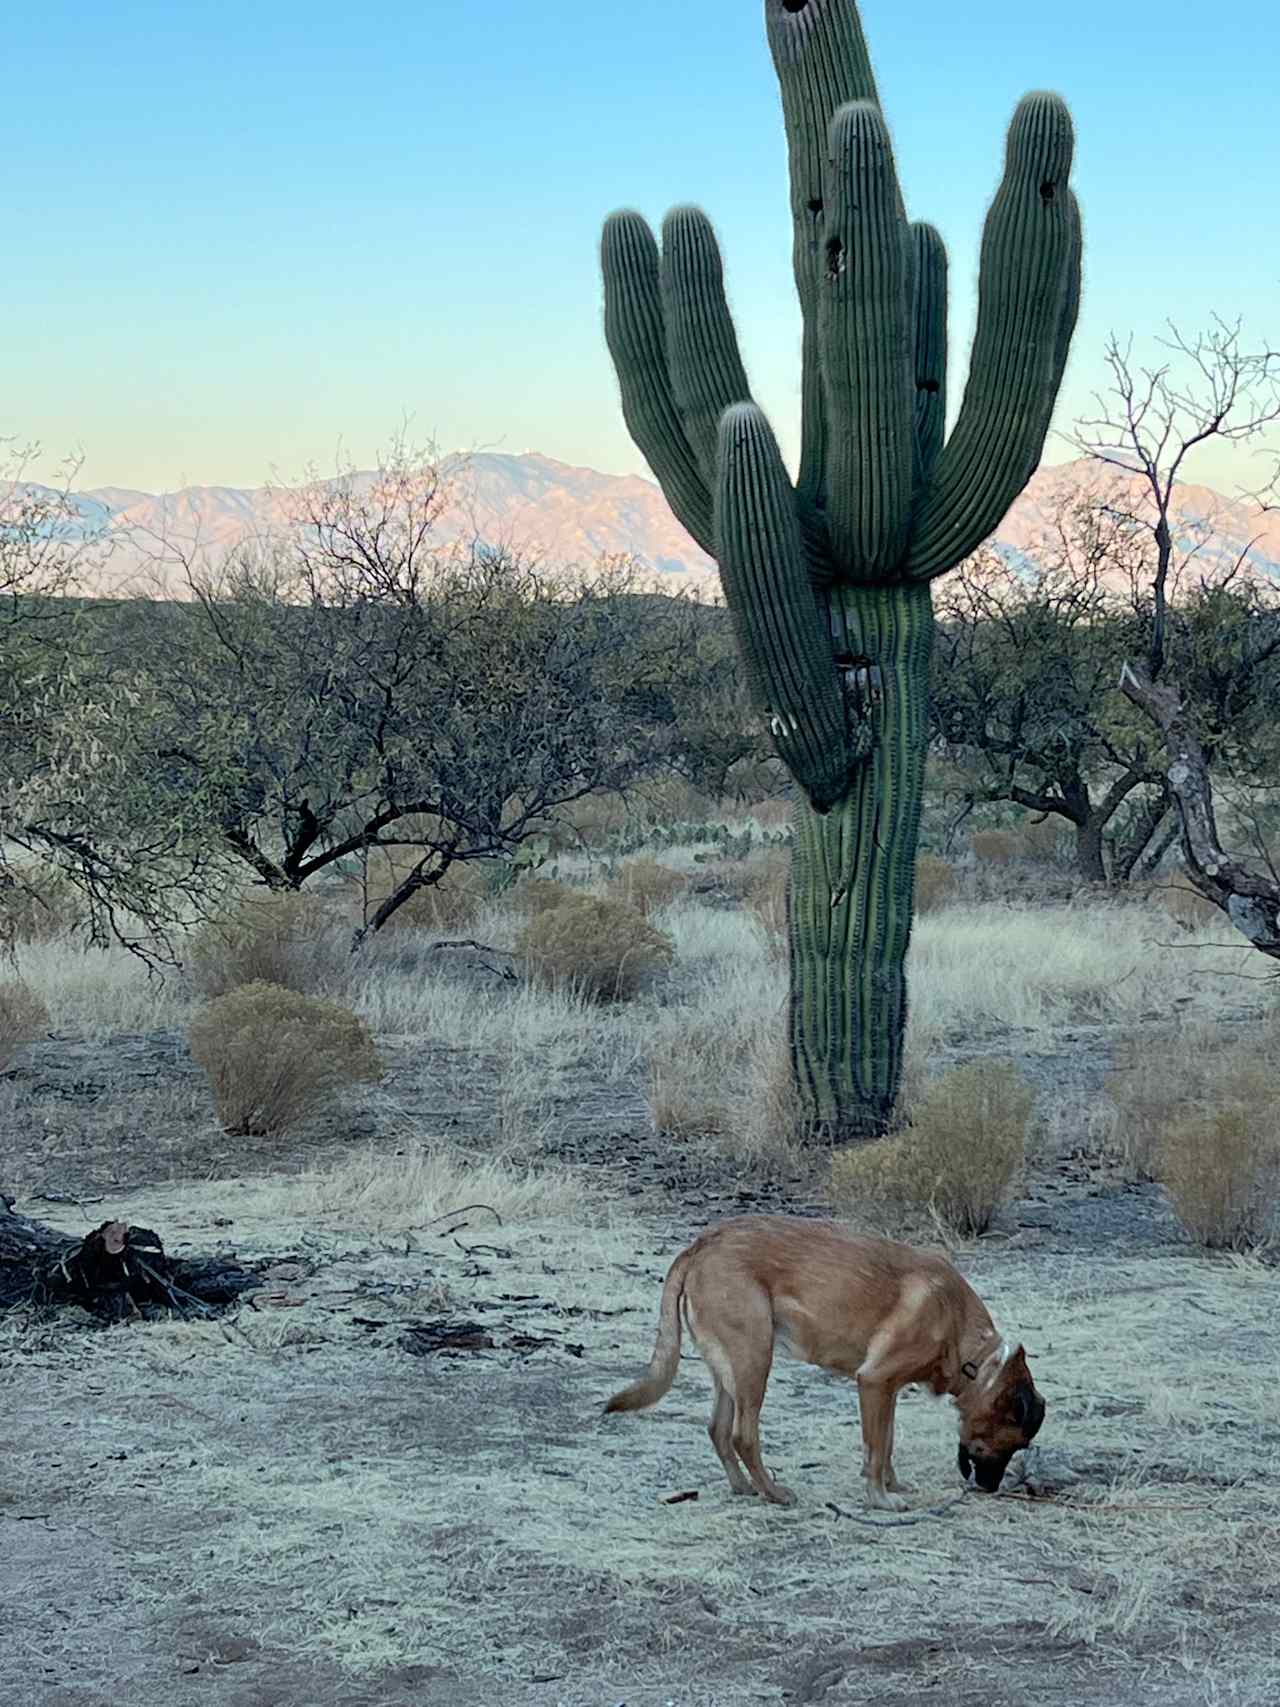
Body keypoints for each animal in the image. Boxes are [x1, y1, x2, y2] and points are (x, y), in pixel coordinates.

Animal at [607, 1215, 1044, 1508]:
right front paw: (880, 1499)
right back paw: (774, 1493)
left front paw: (892, 1485)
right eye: (1012, 1443)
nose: (989, 1489)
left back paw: (745, 1487)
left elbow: (887, 1443)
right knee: (742, 1435)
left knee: (717, 1429)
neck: (973, 1353)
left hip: (728, 1368)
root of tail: (701, 1243)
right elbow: (874, 1449)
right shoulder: (874, 1382)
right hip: (755, 1359)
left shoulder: (887, 1391)